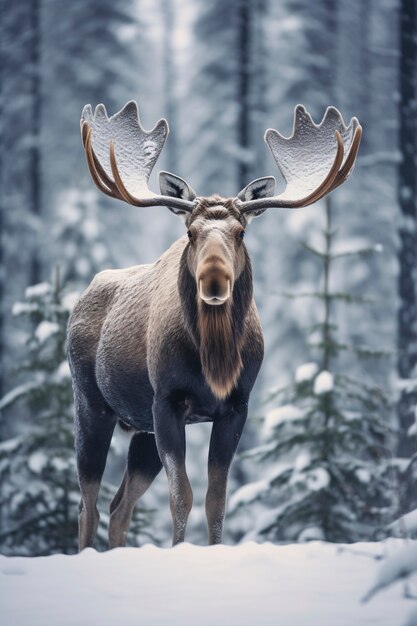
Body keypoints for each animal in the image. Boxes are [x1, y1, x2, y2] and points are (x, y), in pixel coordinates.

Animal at [66, 101, 360, 544]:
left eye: (241, 232)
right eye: (190, 232)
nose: (215, 279)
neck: (215, 359)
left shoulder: (235, 407)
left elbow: (216, 500)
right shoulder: (167, 402)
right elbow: (182, 496)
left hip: (141, 429)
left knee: (119, 507)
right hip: (91, 405)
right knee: (89, 505)